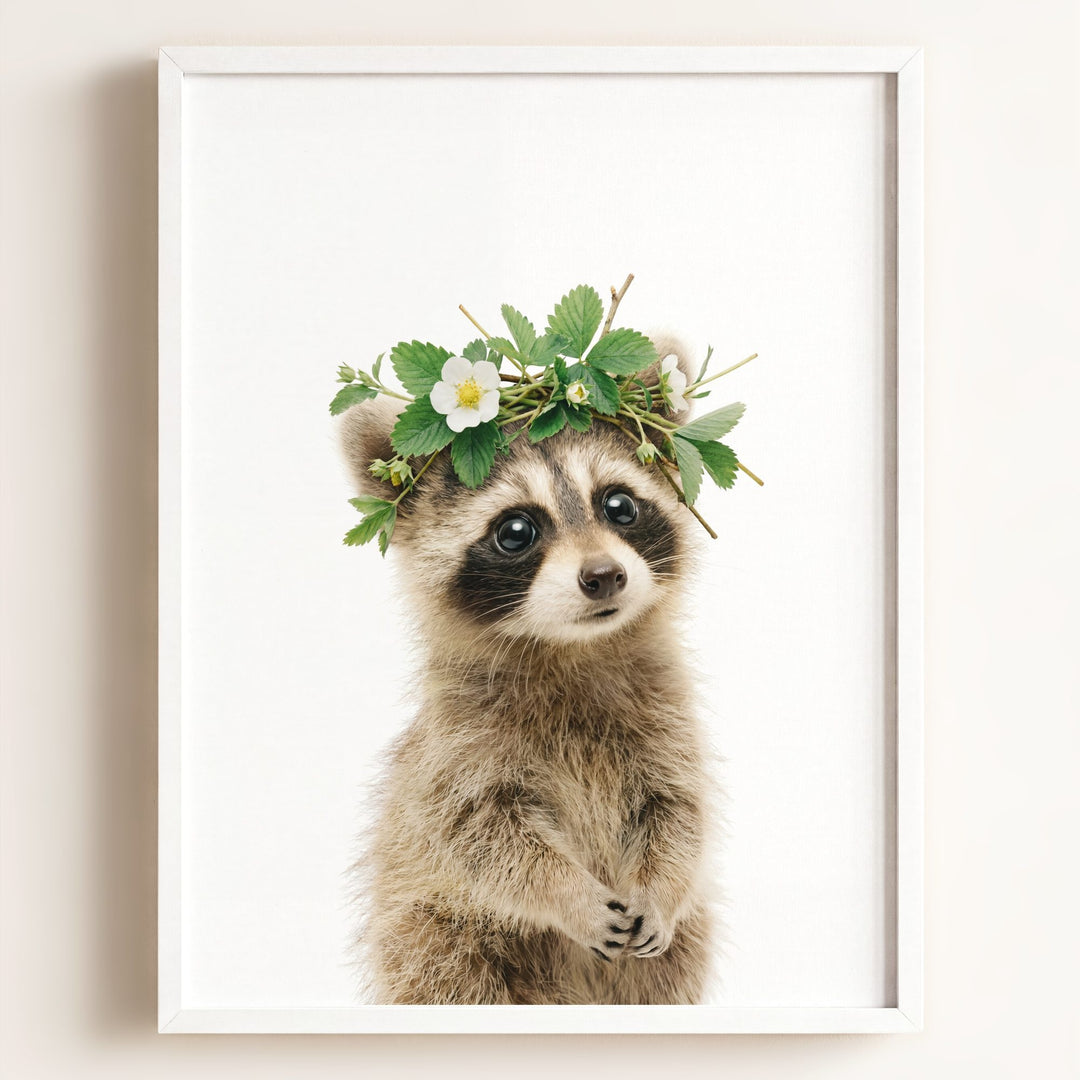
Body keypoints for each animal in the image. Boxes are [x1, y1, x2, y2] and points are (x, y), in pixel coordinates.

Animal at [340, 343, 715, 1005]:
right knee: (447, 977)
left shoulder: (666, 716)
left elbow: (678, 810)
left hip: (677, 956)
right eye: (516, 530)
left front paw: (662, 887)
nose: (604, 576)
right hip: (435, 935)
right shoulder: (457, 748)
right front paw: (570, 896)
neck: (572, 650)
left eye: (618, 505)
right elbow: (484, 839)